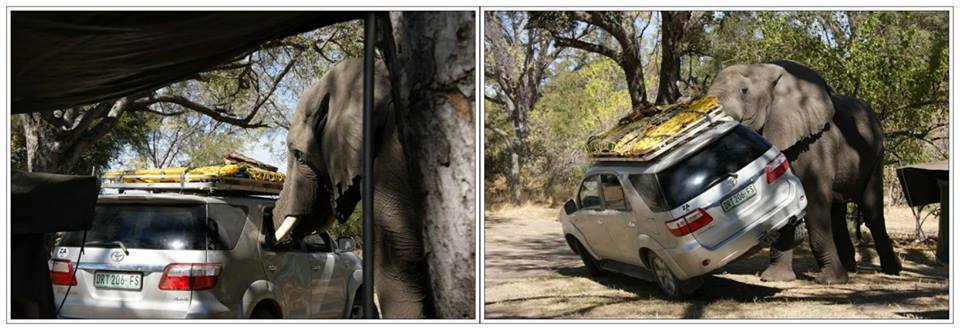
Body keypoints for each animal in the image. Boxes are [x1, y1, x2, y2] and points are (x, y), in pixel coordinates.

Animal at [704, 60, 900, 284]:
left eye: (744, 91)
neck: (765, 70)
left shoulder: (815, 144)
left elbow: (814, 202)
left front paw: (829, 281)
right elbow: (785, 201)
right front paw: (776, 278)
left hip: (876, 155)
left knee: (870, 210)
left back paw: (891, 271)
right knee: (837, 212)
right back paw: (850, 269)